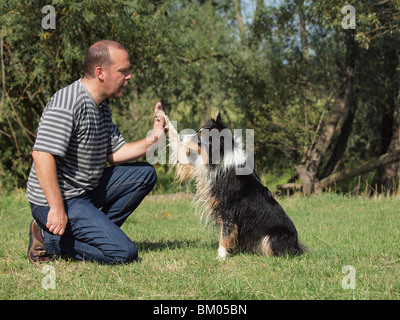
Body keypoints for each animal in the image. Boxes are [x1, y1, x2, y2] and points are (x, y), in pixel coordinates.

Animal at [155, 110, 306, 260]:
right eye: (197, 131)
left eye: (200, 136)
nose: (182, 137)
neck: (221, 156)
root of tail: (296, 245)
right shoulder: (197, 168)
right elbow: (177, 145)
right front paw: (162, 116)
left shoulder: (229, 209)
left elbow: (225, 234)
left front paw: (220, 257)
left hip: (272, 238)